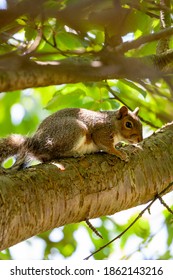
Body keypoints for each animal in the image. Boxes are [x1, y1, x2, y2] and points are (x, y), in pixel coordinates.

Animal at [0, 105, 142, 170]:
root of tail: (38, 143)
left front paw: (120, 145)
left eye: (140, 123)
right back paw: (74, 153)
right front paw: (119, 153)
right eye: (128, 124)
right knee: (56, 153)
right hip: (75, 130)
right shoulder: (101, 131)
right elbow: (106, 145)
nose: (140, 140)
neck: (112, 122)